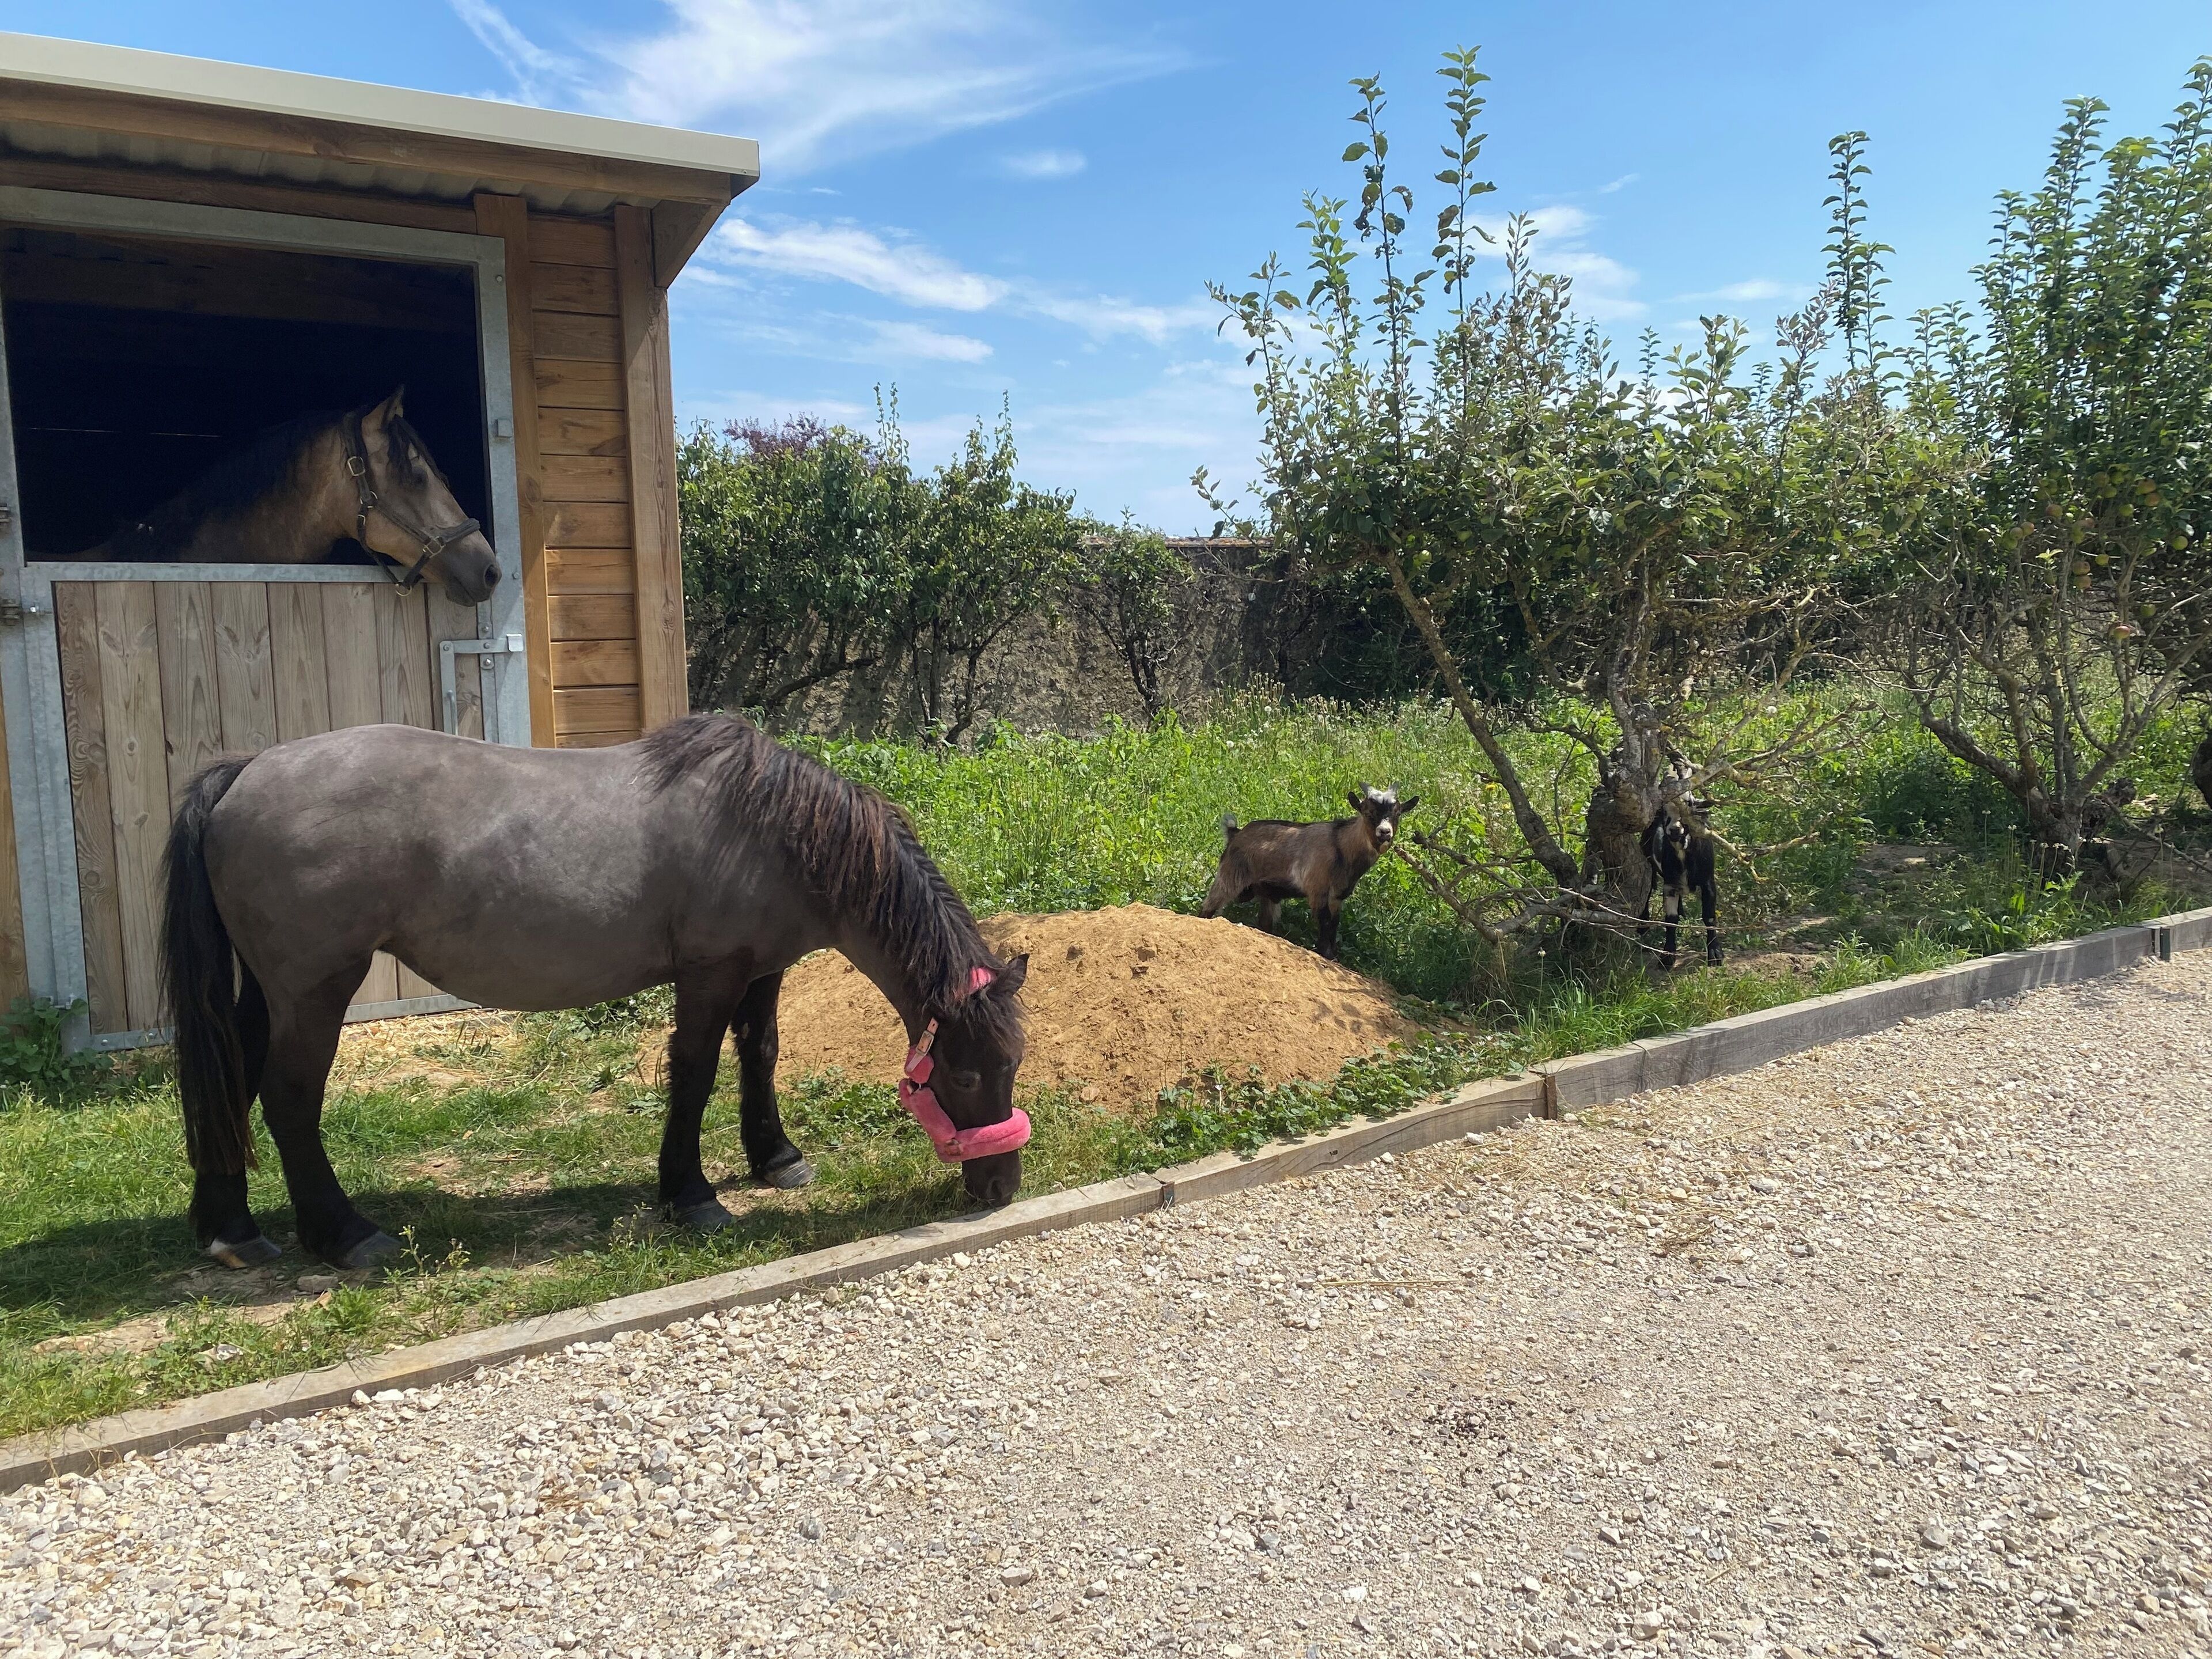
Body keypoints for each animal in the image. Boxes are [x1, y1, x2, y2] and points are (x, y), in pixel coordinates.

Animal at [162, 713, 1031, 1271]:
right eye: (961, 1075)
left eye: (1014, 1066)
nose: (1000, 1187)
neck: (773, 828)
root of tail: (246, 771)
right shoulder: (712, 972)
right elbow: (695, 1072)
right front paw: (691, 1195)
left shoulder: (763, 969)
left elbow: (762, 1055)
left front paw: (776, 1158)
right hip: (316, 989)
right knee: (289, 1097)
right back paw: (344, 1234)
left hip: (266, 992)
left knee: (234, 1083)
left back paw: (230, 1228)